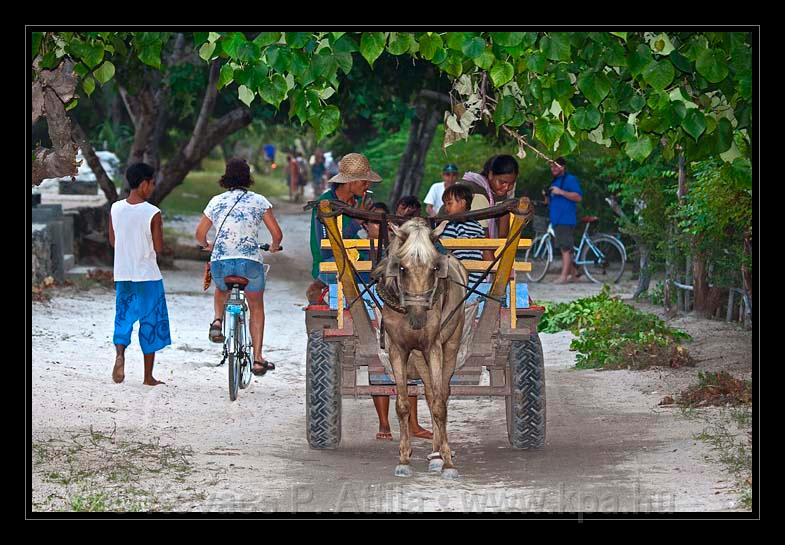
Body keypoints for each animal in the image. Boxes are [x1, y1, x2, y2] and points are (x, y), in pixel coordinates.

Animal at [372, 215, 468, 478]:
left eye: (435, 268)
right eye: (402, 268)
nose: (418, 318)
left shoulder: (433, 347)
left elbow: (439, 405)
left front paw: (448, 462)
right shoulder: (398, 350)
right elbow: (403, 404)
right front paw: (404, 459)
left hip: (451, 344)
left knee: (441, 392)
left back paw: (438, 454)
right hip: (417, 355)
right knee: (429, 391)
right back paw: (434, 454)